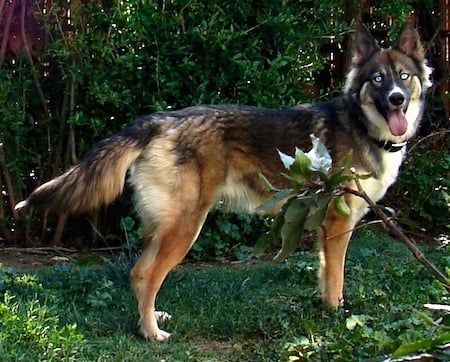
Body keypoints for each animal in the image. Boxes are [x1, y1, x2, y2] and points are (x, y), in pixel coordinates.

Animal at [16, 24, 432, 340]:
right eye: (377, 79)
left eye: (404, 76)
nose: (396, 99)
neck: (362, 126)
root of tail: (158, 120)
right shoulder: (338, 223)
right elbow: (336, 279)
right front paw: (335, 315)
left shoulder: (325, 227)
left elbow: (325, 274)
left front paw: (326, 309)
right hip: (186, 227)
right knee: (148, 276)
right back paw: (151, 334)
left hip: (164, 227)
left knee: (137, 274)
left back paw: (151, 319)